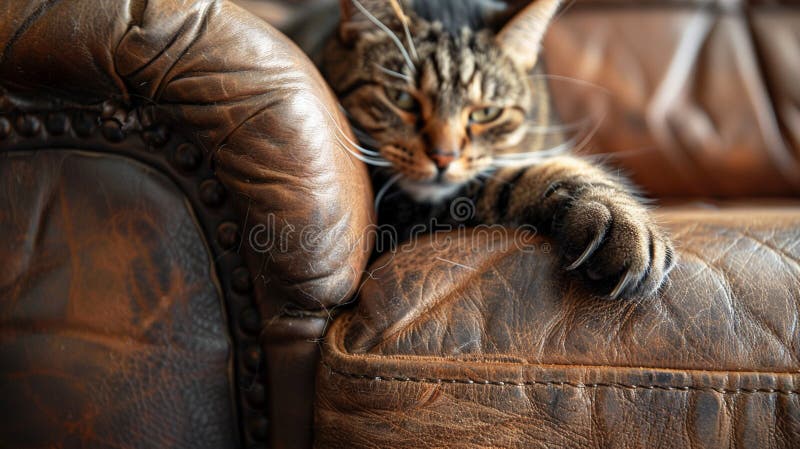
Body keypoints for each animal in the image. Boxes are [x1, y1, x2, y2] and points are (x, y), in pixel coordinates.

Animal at [318, 0, 676, 300]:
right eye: (401, 99)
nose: (443, 157)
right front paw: (621, 224)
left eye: (486, 113)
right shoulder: (405, 212)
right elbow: (515, 178)